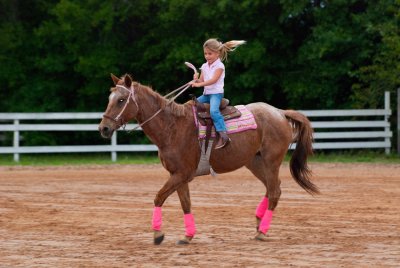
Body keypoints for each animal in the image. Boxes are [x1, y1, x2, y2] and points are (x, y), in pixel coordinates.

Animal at [97, 73, 318, 245]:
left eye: (121, 100)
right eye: (110, 98)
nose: (104, 128)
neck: (172, 127)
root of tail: (280, 112)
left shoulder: (181, 174)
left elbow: (159, 197)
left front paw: (158, 234)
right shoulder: (179, 176)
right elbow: (185, 203)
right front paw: (187, 236)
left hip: (272, 161)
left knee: (274, 192)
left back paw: (262, 231)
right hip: (254, 162)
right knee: (272, 188)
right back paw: (258, 222)